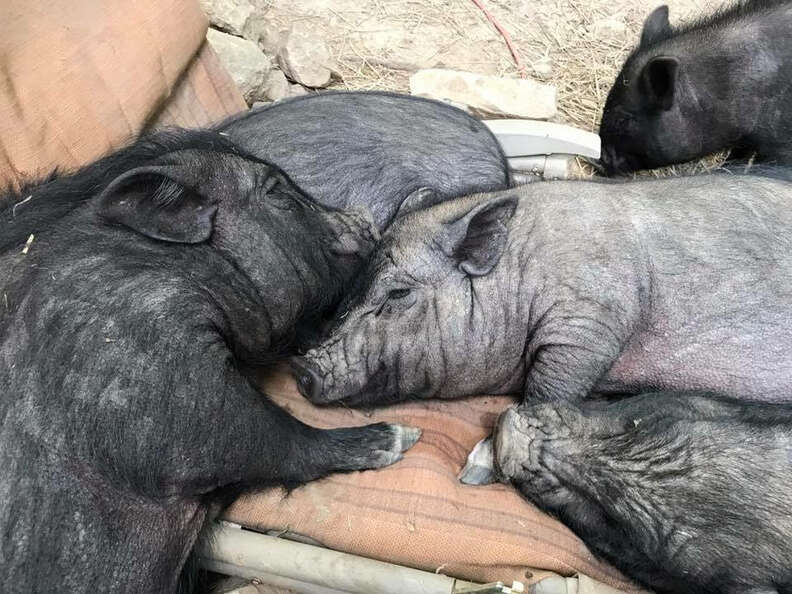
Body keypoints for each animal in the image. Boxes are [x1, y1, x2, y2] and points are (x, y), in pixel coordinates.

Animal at [293, 172, 792, 408]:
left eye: (398, 295)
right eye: (353, 288)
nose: (301, 368)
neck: (518, 278)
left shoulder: (590, 319)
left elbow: (550, 389)